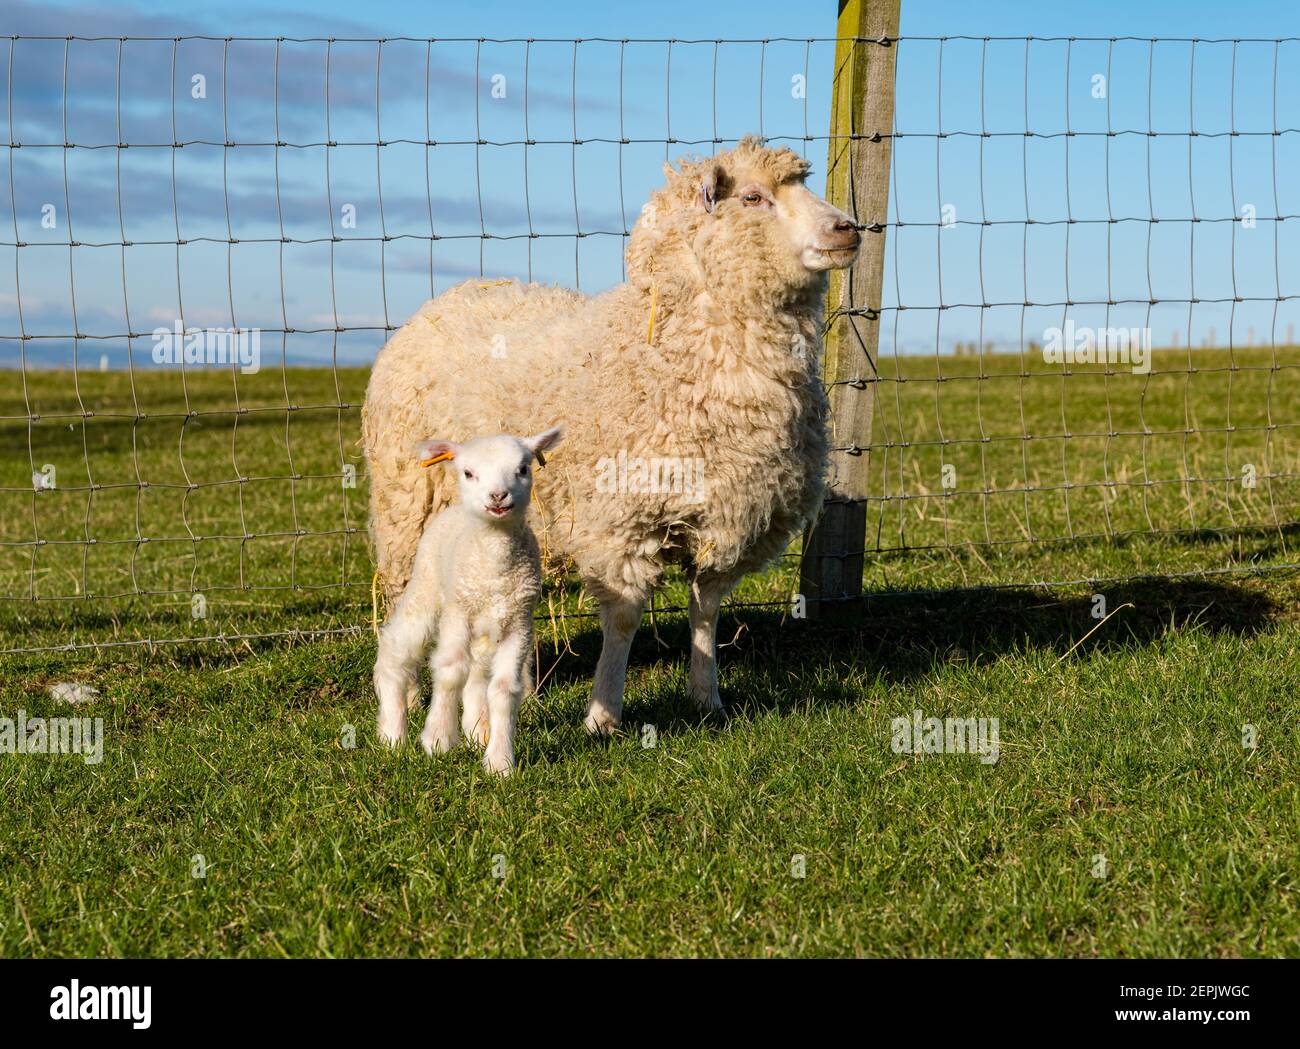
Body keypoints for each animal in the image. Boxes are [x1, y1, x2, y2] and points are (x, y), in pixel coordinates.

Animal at [361, 133, 857, 738]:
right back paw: (409, 700)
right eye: (754, 198)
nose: (849, 229)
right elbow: (622, 617)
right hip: (407, 509)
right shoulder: (622, 524)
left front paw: (706, 697)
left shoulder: (728, 517)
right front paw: (604, 713)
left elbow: (705, 611)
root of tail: (458, 292)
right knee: (407, 597)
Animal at [371, 426, 564, 779]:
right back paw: (392, 733)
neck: (495, 566)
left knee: (477, 672)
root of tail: (453, 509)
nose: (498, 496)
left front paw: (500, 762)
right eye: (469, 473)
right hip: (427, 583)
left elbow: (503, 689)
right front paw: (437, 739)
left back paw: (477, 731)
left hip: (486, 624)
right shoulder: (457, 613)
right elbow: (450, 670)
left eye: (523, 469)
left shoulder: (519, 623)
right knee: (397, 647)